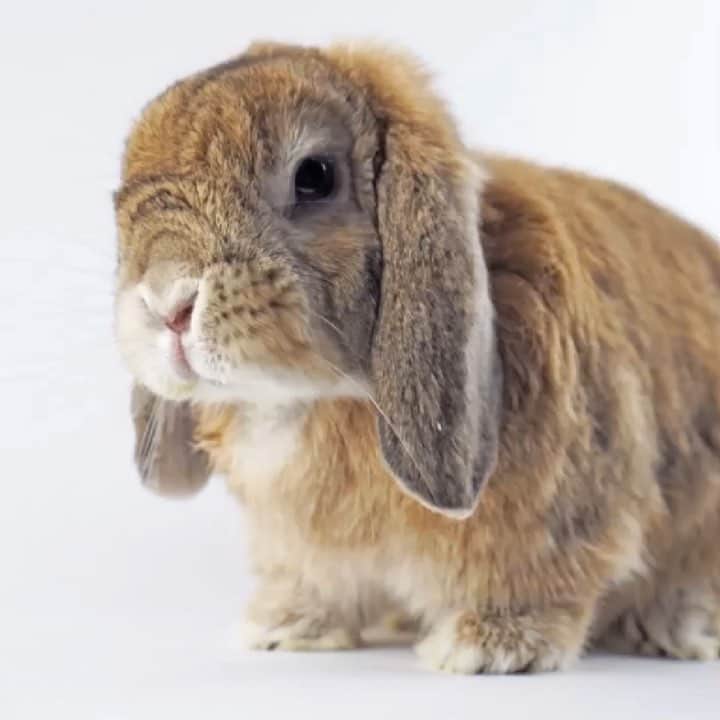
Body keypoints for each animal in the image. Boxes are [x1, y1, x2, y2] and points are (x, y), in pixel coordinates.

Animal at [114, 41, 720, 673]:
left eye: (314, 178)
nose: (167, 302)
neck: (314, 400)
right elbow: (314, 583)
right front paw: (284, 628)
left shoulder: (556, 514)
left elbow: (535, 578)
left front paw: (488, 646)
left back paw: (677, 628)